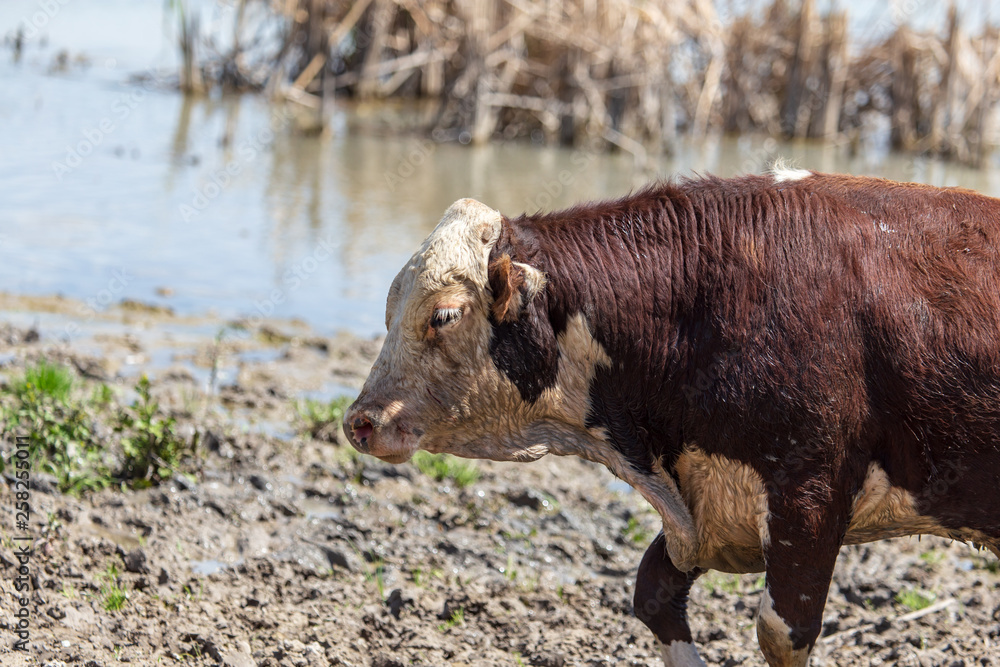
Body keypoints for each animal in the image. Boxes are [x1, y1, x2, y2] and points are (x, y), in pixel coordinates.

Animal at [343, 167, 1000, 666]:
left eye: (445, 315)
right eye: (388, 311)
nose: (360, 422)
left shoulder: (810, 495)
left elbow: (781, 631)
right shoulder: (704, 509)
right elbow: (653, 593)